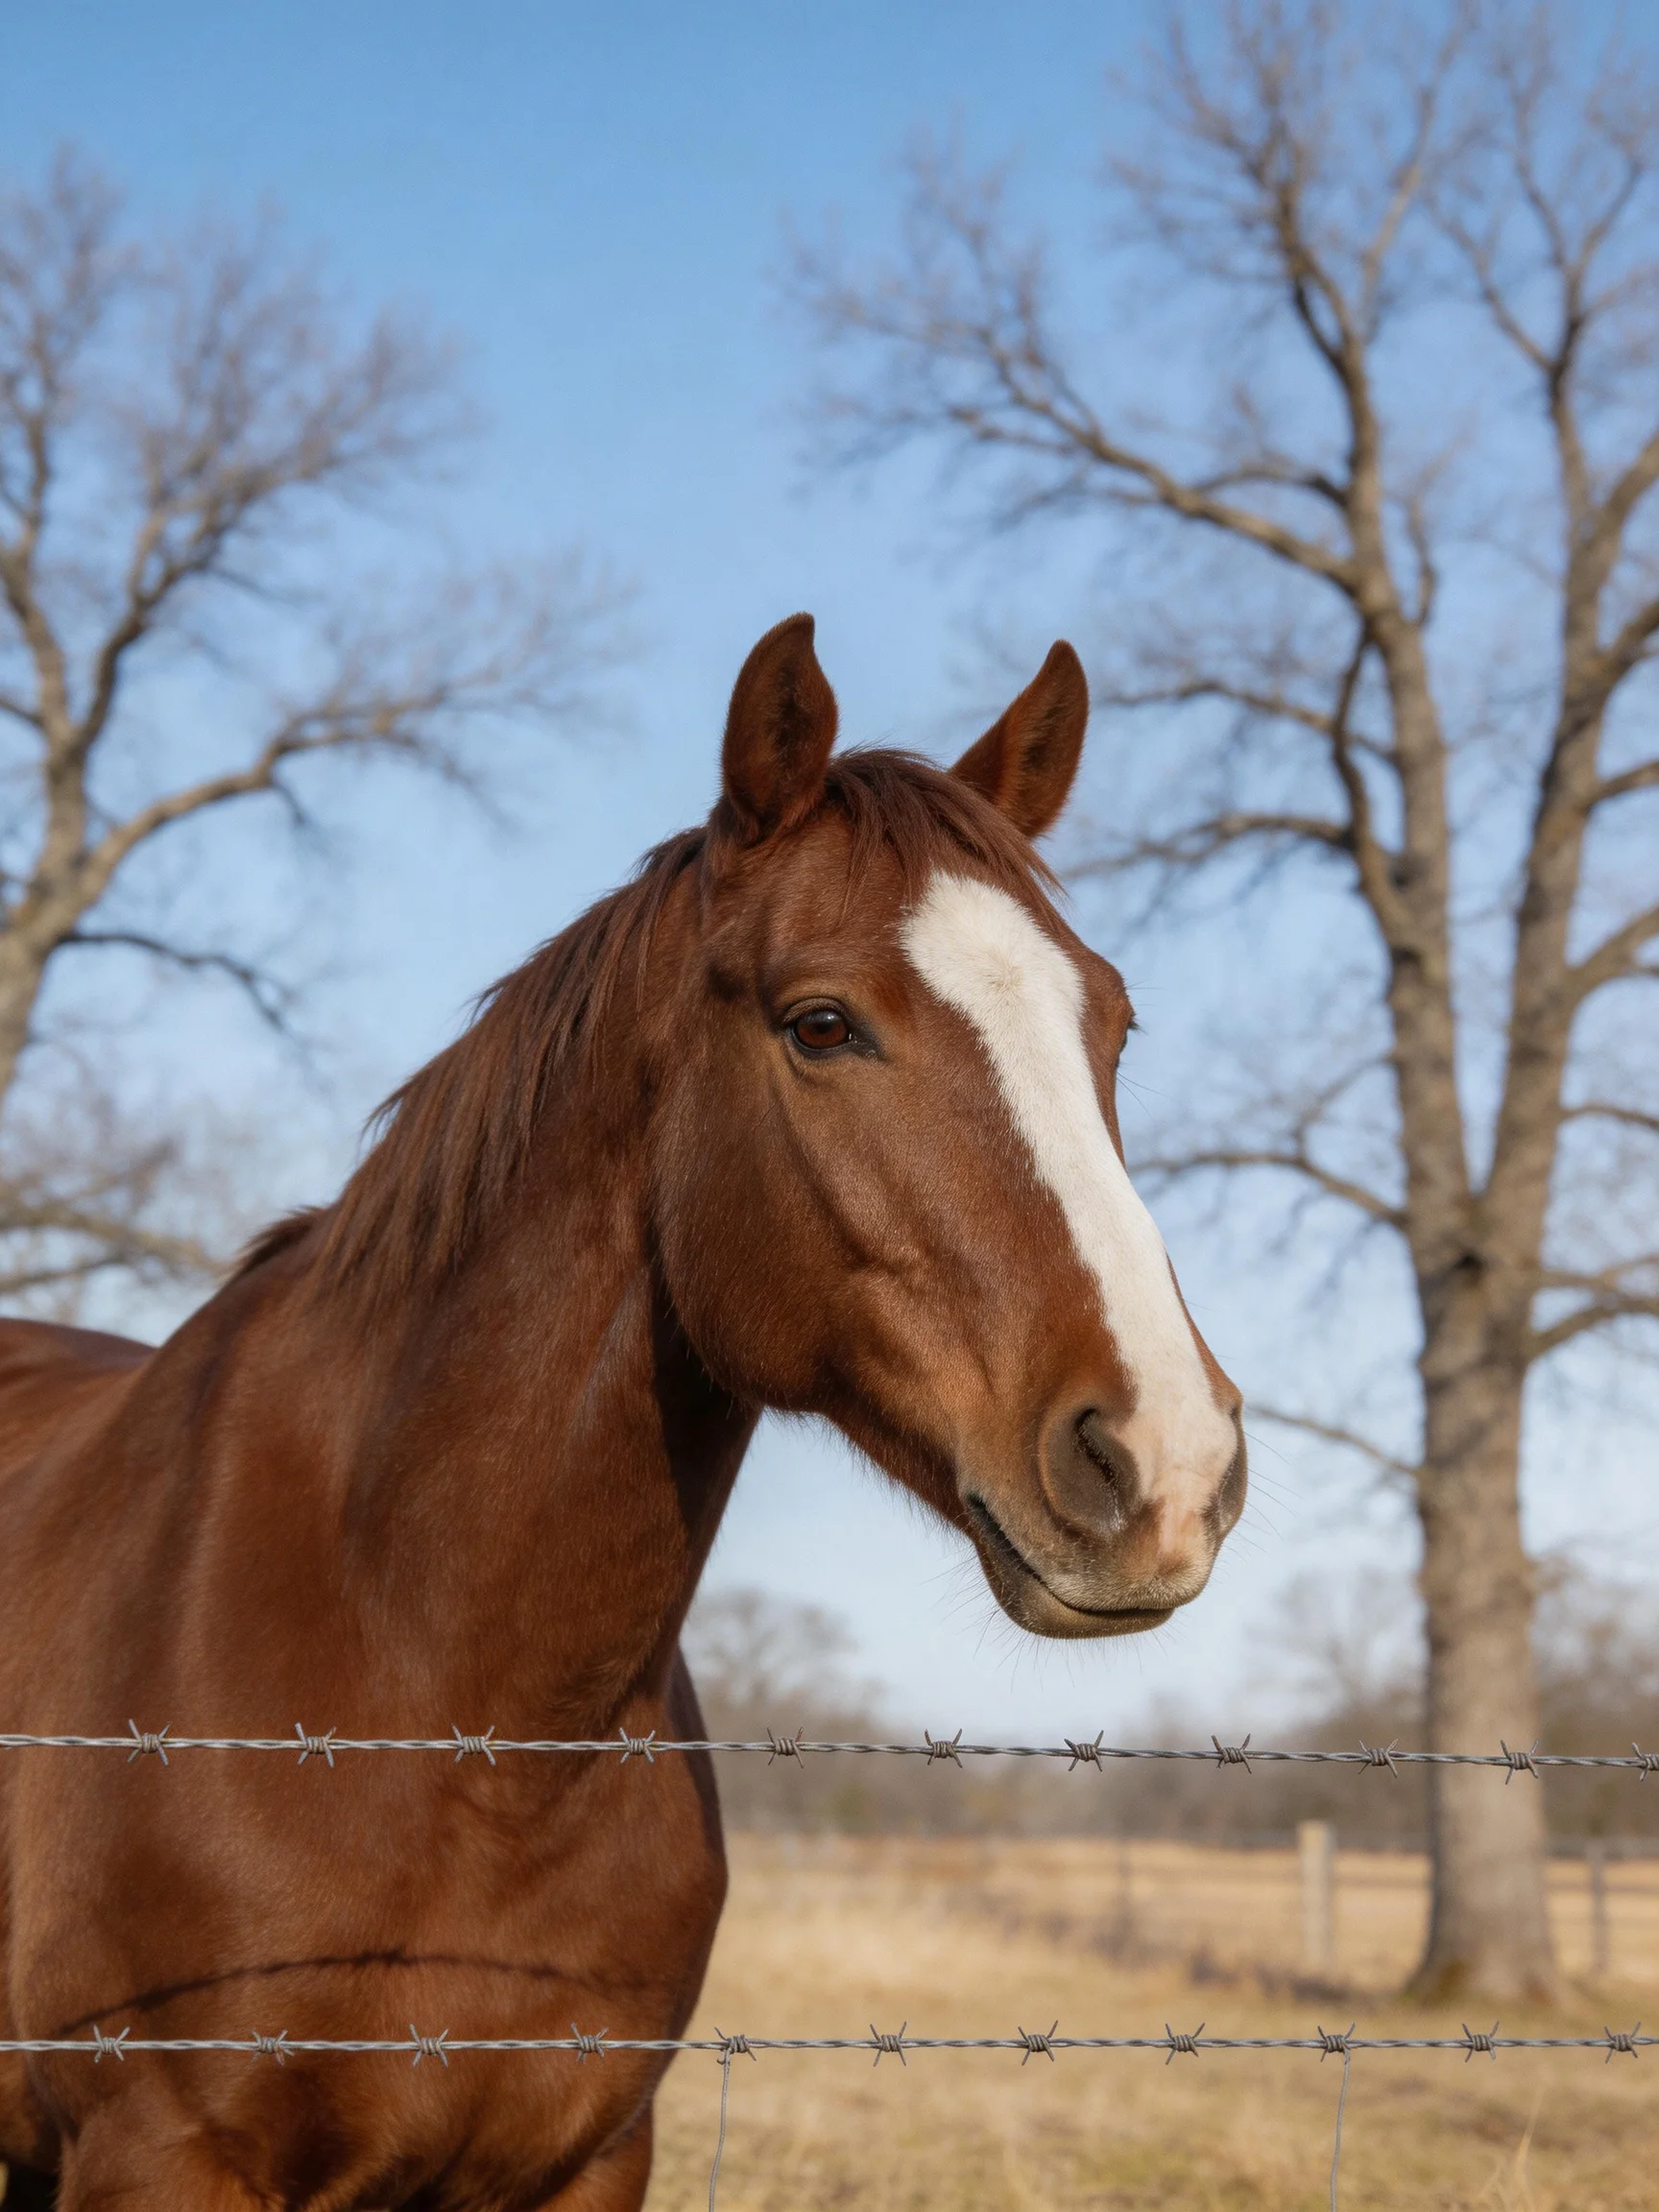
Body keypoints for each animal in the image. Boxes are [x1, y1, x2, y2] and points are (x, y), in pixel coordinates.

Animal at [0, 615, 1244, 2210]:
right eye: (821, 1025)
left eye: (1115, 1025)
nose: (1167, 1469)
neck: (455, 1725)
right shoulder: (161, 2158)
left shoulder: (588, 2160)